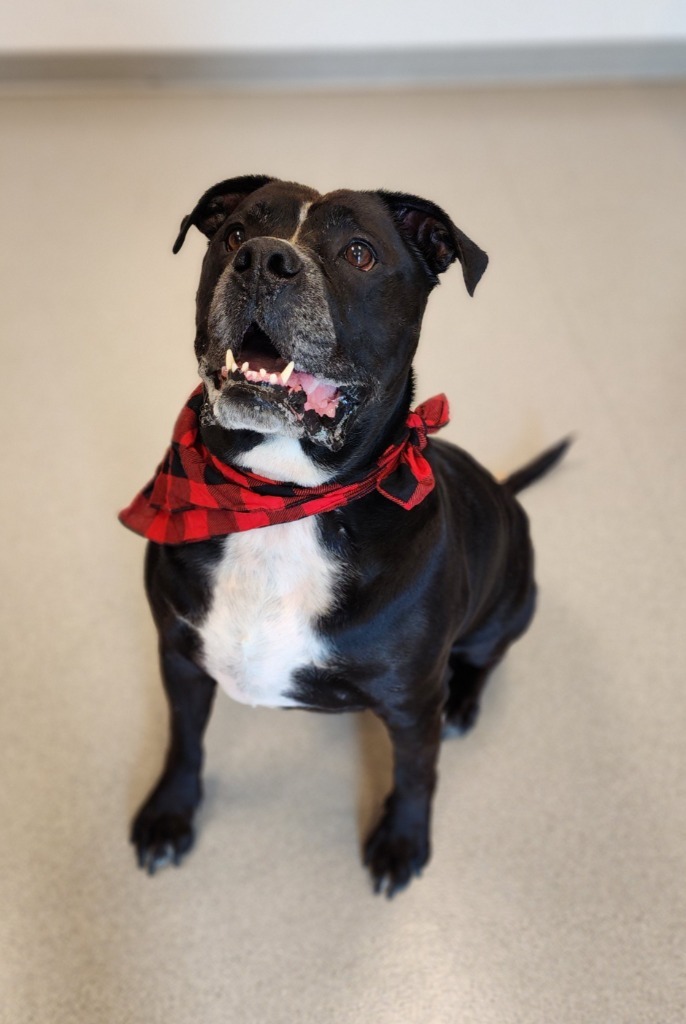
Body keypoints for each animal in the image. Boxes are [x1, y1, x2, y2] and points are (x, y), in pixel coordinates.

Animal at [122, 176, 569, 897]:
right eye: (235, 233)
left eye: (360, 253)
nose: (262, 260)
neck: (281, 504)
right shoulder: (181, 657)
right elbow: (183, 741)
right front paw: (170, 814)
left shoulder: (412, 704)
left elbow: (417, 774)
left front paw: (402, 842)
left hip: (510, 606)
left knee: (486, 658)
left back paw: (465, 702)